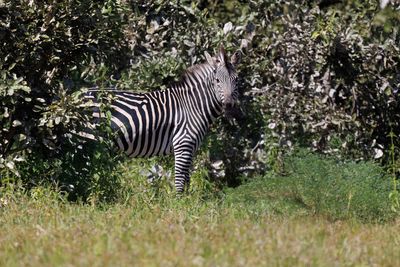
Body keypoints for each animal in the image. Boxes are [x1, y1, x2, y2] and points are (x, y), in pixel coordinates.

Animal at [83, 45, 242, 193]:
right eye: (217, 81)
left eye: (236, 80)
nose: (229, 105)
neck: (193, 105)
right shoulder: (182, 143)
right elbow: (180, 179)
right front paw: (179, 202)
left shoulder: (190, 146)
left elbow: (187, 179)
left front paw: (188, 200)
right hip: (89, 138)